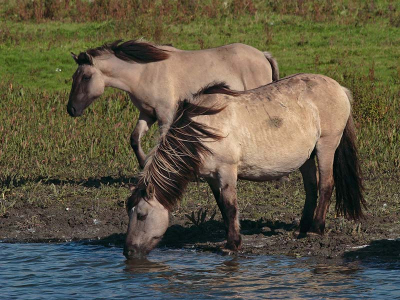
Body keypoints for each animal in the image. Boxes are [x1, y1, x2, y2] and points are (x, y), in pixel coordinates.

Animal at [66, 38, 278, 168]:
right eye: (74, 77)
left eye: (86, 77)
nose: (71, 109)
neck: (144, 73)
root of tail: (263, 55)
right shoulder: (148, 114)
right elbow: (134, 139)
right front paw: (143, 164)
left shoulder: (165, 115)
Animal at [123, 73, 368, 258]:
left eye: (142, 215)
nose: (128, 252)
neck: (203, 130)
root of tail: (339, 88)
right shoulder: (212, 178)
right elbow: (223, 208)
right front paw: (229, 239)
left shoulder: (226, 171)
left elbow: (231, 207)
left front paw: (233, 245)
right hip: (307, 157)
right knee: (311, 189)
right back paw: (302, 228)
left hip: (326, 146)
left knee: (326, 185)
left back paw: (316, 230)